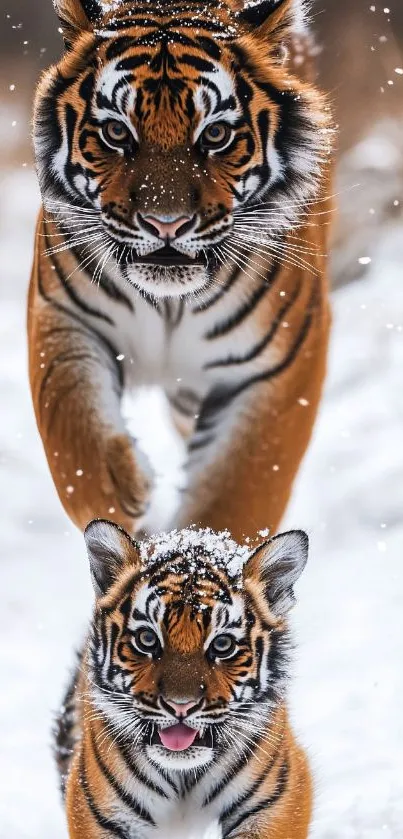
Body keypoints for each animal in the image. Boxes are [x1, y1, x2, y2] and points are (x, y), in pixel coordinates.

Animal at [28, 0, 332, 541]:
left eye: (215, 134)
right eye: (116, 132)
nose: (165, 223)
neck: (170, 303)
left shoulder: (279, 365)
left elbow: (238, 496)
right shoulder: (65, 315)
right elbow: (70, 429)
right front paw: (123, 491)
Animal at [56, 519, 311, 839]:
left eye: (222, 645)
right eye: (147, 639)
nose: (180, 706)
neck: (183, 778)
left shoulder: (277, 800)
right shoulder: (99, 811)